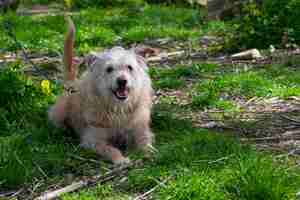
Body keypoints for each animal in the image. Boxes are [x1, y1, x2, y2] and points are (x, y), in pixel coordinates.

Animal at [49, 16, 155, 164]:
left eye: (129, 67)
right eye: (109, 69)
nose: (122, 81)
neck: (118, 109)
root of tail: (72, 84)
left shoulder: (140, 130)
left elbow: (144, 142)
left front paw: (148, 153)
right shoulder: (93, 139)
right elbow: (110, 149)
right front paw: (121, 160)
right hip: (58, 115)